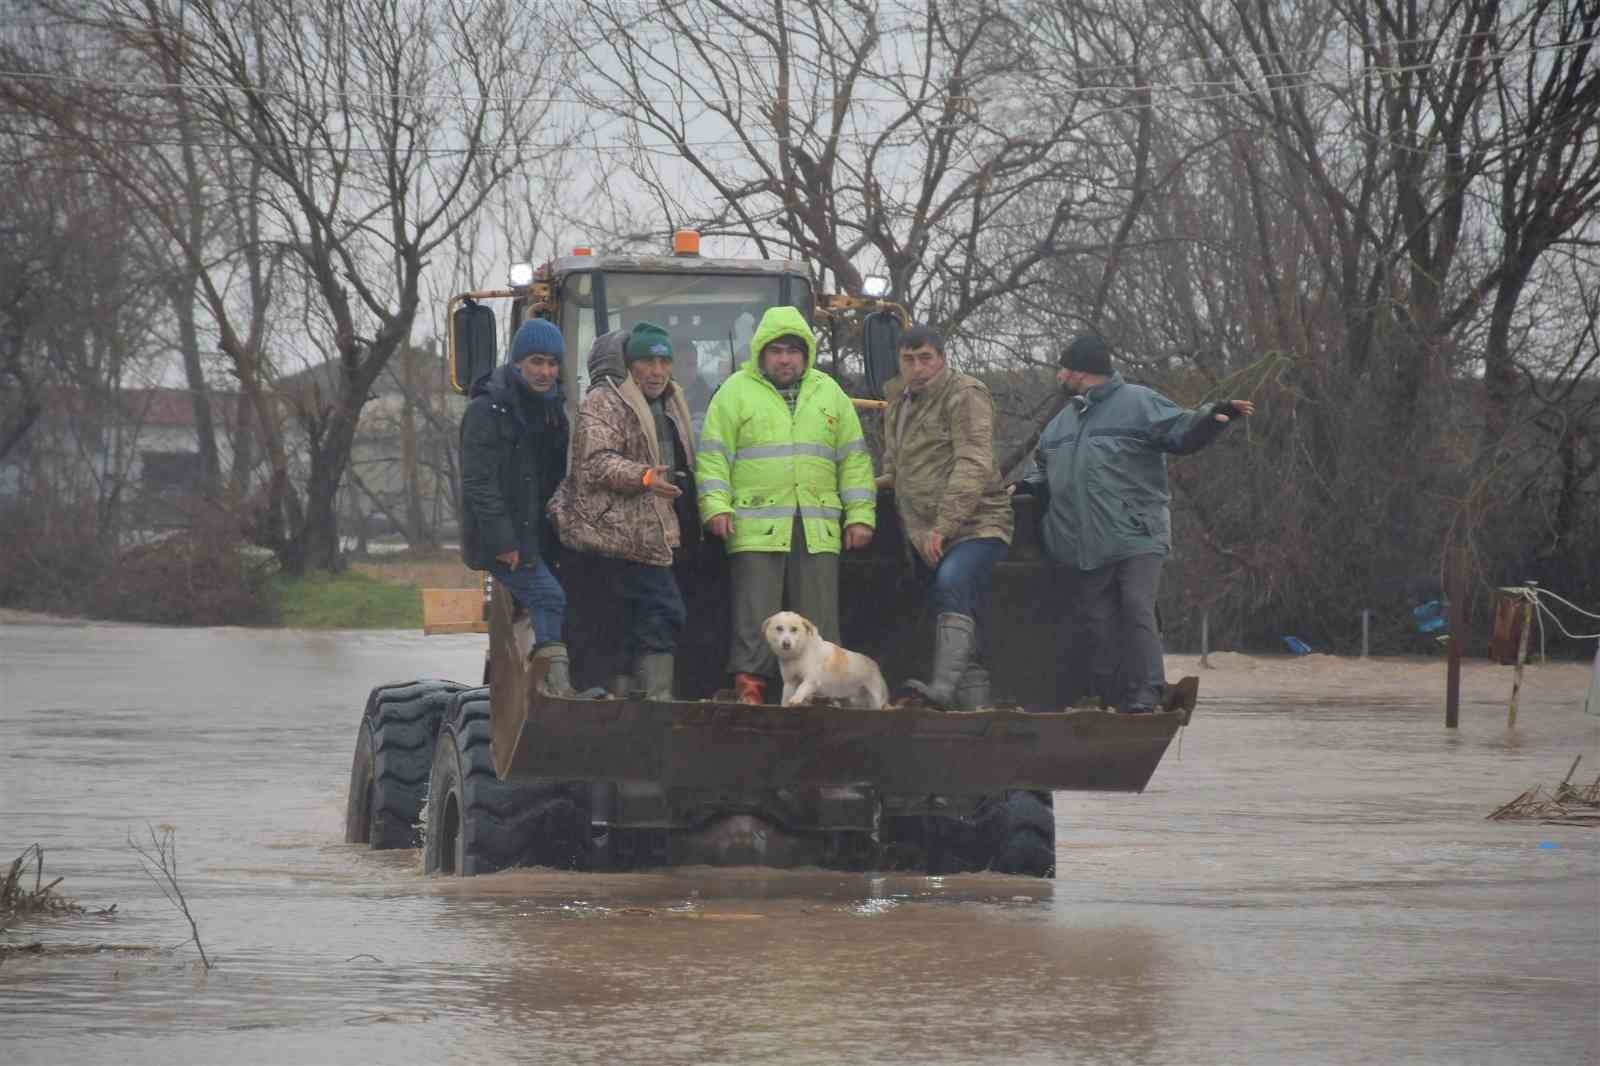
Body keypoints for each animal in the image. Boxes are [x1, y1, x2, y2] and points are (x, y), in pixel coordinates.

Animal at [758, 611, 889, 710]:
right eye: (779, 628)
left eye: (794, 629)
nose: (786, 644)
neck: (799, 654)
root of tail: (874, 663)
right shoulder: (790, 681)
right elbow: (785, 696)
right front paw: (786, 705)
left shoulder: (811, 680)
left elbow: (801, 688)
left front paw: (796, 699)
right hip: (851, 700)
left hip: (875, 699)